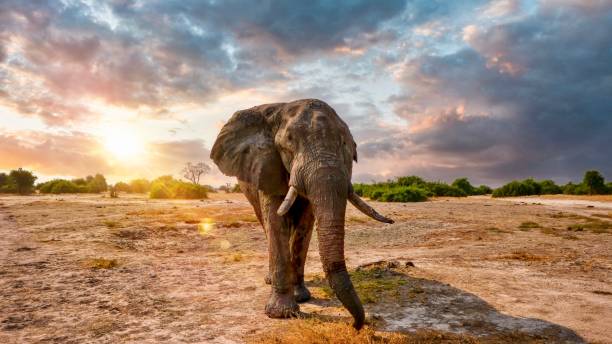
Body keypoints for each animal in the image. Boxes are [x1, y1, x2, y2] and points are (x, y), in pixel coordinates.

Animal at [209, 98, 392, 330]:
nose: (356, 325)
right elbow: (275, 219)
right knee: (265, 222)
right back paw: (269, 279)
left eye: (346, 145)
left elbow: (304, 225)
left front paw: (301, 298)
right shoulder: (266, 165)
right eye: (289, 143)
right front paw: (281, 314)